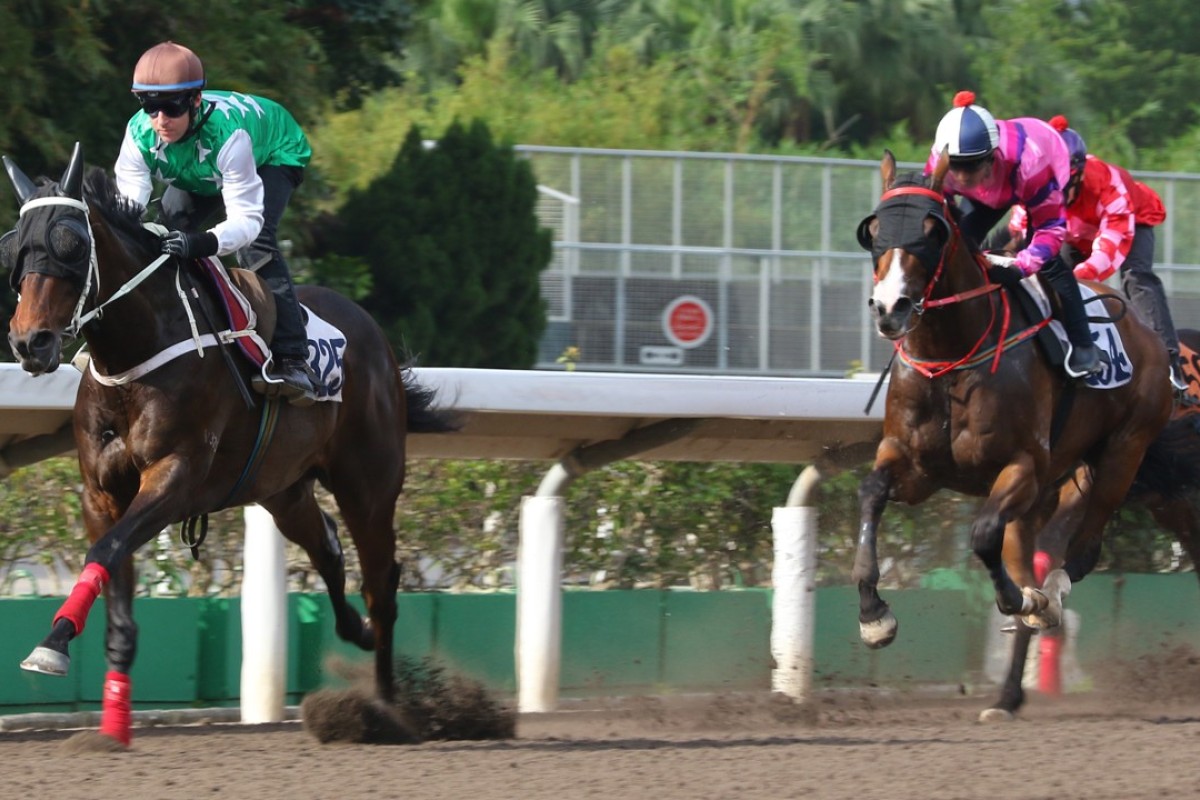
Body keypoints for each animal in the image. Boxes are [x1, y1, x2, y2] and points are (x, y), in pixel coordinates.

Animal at [3, 142, 458, 743]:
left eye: (71, 245)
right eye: (14, 247)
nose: (29, 342)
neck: (136, 355)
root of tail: (375, 335)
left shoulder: (175, 475)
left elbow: (105, 552)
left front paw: (51, 646)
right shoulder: (101, 493)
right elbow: (112, 571)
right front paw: (108, 719)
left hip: (369, 485)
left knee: (381, 585)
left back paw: (385, 708)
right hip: (282, 489)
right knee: (328, 547)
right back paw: (355, 635)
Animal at [854, 148, 1180, 719]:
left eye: (931, 231)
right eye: (873, 231)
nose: (891, 308)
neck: (952, 357)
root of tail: (1149, 336)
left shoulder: (1022, 467)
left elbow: (984, 535)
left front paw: (1021, 599)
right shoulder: (913, 465)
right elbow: (872, 493)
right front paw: (874, 616)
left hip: (1122, 452)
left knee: (1083, 547)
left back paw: (1045, 598)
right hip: (1056, 486)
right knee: (1029, 549)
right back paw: (1007, 693)